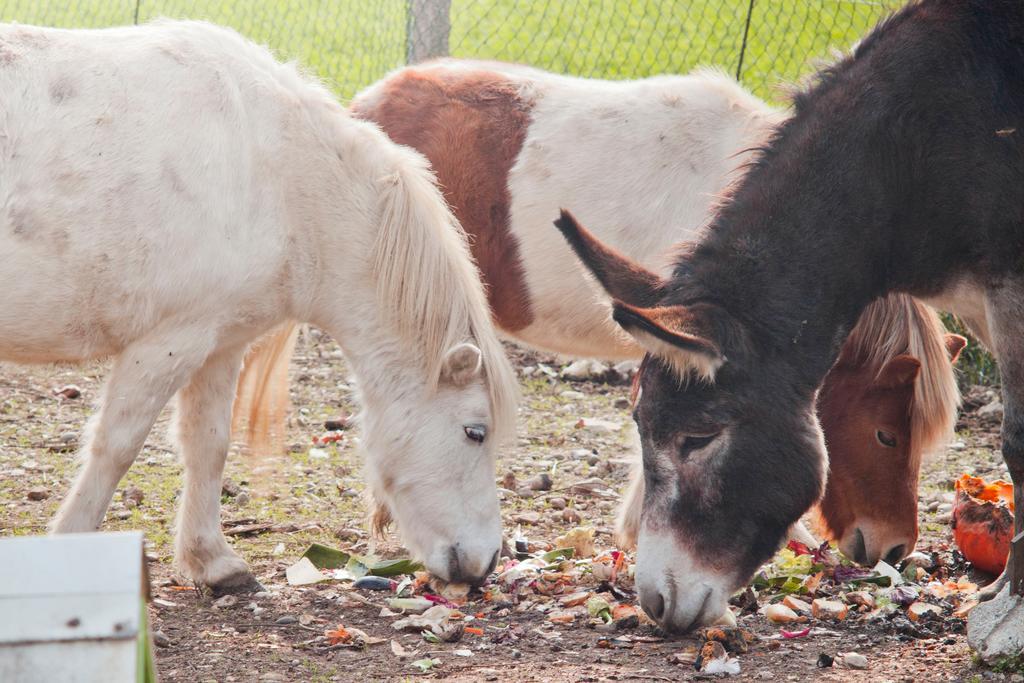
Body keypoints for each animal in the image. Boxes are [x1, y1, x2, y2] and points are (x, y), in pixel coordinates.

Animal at [0, 21, 516, 593]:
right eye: (475, 432)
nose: (486, 564)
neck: (278, 178)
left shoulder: (219, 345)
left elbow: (208, 445)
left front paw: (212, 561)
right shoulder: (166, 343)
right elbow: (116, 447)